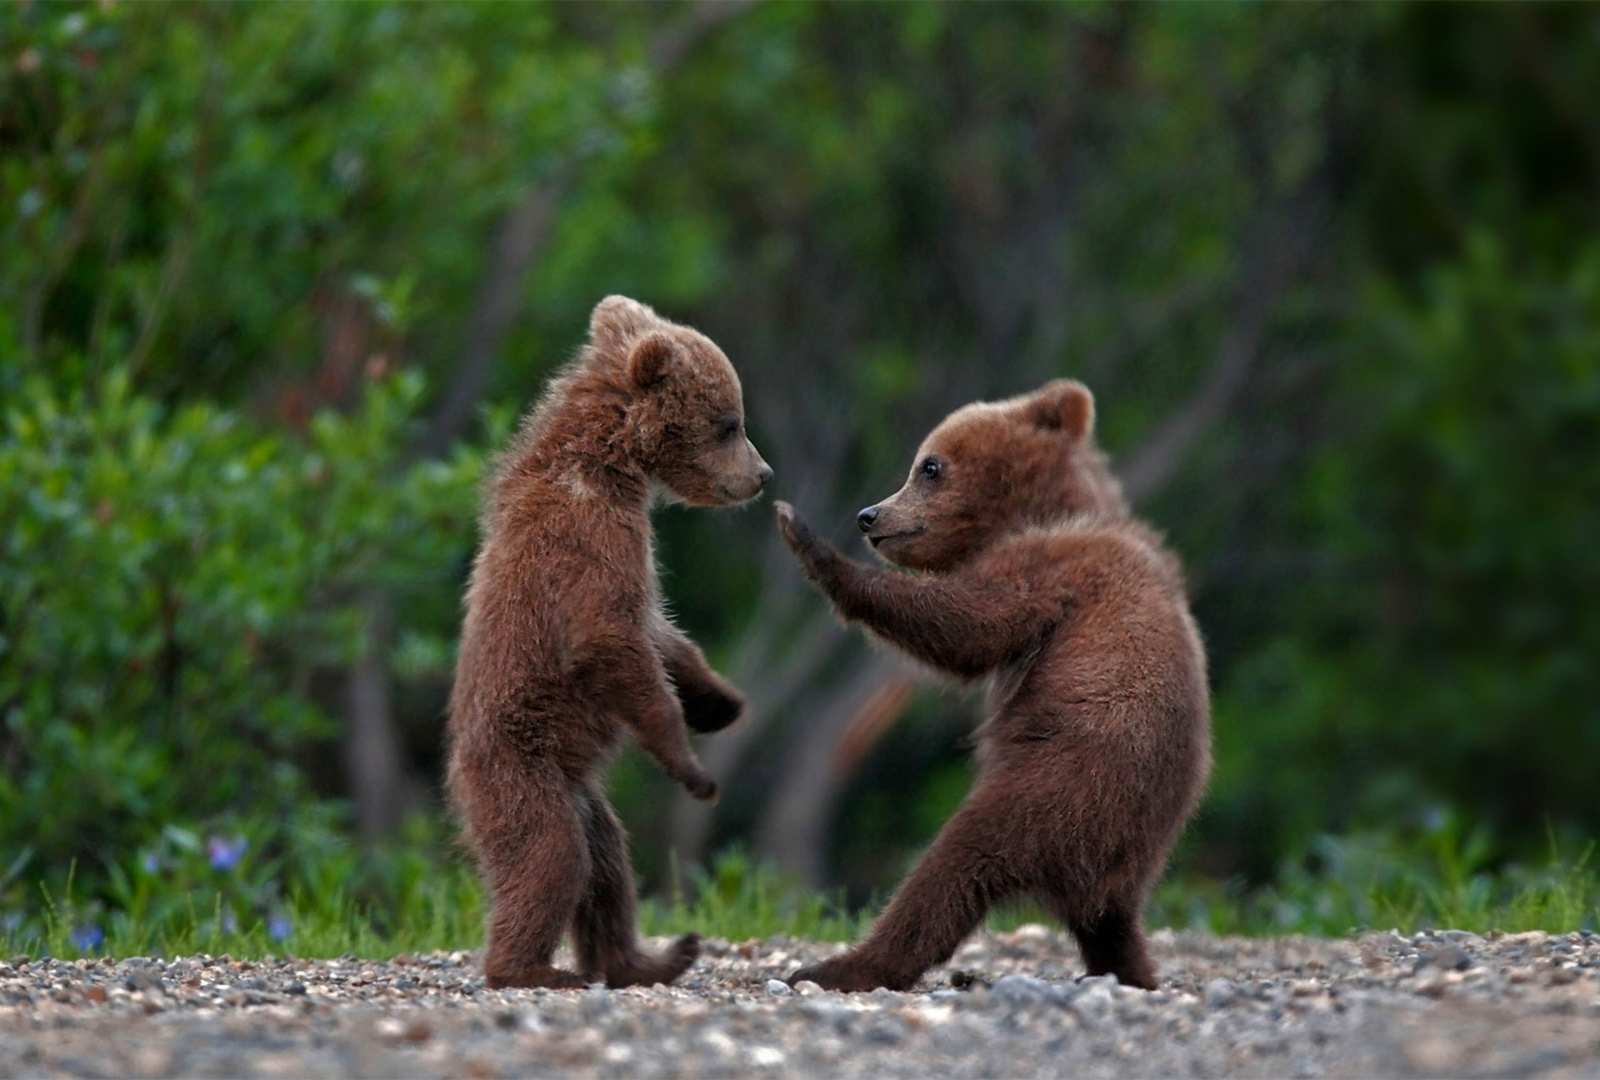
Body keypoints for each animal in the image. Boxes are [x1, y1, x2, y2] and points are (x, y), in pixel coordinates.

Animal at [446, 295, 772, 990]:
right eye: (729, 422)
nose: (762, 474)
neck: (611, 464)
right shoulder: (589, 540)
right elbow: (610, 639)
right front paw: (692, 768)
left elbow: (660, 633)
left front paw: (720, 701)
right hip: (522, 772)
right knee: (551, 858)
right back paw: (531, 969)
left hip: (582, 796)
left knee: (608, 868)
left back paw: (650, 958)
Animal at [772, 378, 1210, 992]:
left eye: (929, 465)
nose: (869, 515)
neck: (1047, 513)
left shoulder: (1053, 572)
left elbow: (969, 624)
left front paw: (806, 538)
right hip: (1125, 849)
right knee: (1110, 923)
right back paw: (1132, 971)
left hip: (1059, 787)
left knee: (952, 866)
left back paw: (842, 965)